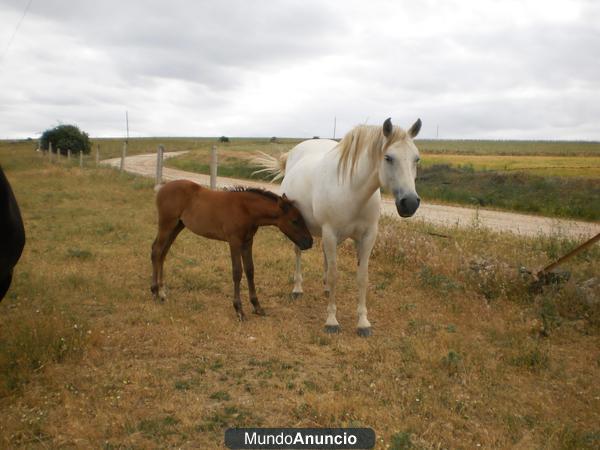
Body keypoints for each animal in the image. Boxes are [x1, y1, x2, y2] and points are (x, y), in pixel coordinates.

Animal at [150, 179, 312, 320]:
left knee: (163, 253)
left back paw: (162, 292)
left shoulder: (247, 242)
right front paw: (239, 310)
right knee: (156, 251)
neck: (245, 209)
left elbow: (250, 270)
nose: (309, 242)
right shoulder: (234, 241)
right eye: (295, 221)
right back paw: (155, 292)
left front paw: (257, 306)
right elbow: (237, 272)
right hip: (167, 223)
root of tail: (162, 188)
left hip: (177, 225)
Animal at [255, 118, 420, 336]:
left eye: (416, 159)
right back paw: (297, 288)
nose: (410, 203)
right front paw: (331, 321)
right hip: (299, 230)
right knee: (298, 253)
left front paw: (363, 323)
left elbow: (362, 277)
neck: (353, 190)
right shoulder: (330, 233)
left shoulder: (367, 237)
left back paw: (325, 289)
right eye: (388, 158)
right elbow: (335, 276)